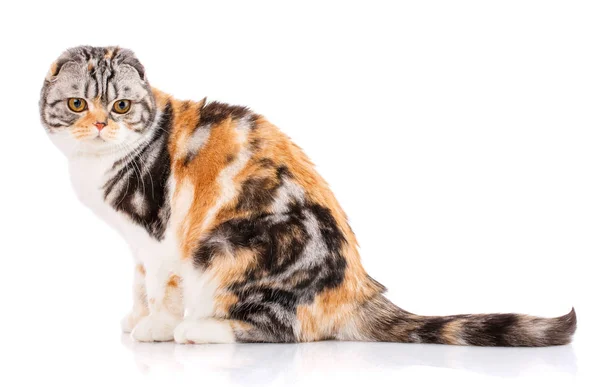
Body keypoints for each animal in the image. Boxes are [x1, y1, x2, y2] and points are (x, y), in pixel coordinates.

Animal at [38, 47, 576, 348]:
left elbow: (161, 288)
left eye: (121, 106)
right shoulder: (139, 247)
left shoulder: (163, 240)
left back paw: (199, 330)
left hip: (228, 247)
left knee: (283, 327)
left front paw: (154, 326)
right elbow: (137, 283)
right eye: (78, 104)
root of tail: (359, 288)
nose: (101, 124)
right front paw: (135, 318)